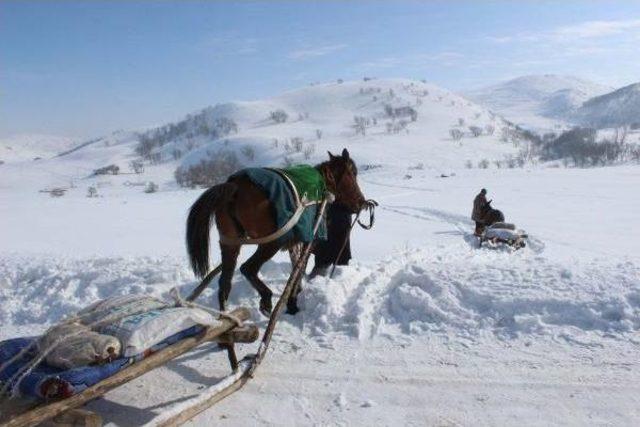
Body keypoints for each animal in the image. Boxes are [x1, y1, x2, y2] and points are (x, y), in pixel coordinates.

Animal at [185, 149, 364, 316]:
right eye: (352, 174)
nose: (361, 203)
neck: (322, 187)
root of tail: (235, 187)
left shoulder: (295, 242)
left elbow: (295, 268)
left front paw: (293, 301)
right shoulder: (308, 240)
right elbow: (299, 270)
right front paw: (292, 301)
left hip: (231, 244)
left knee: (224, 285)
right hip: (272, 242)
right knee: (248, 268)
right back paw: (266, 299)